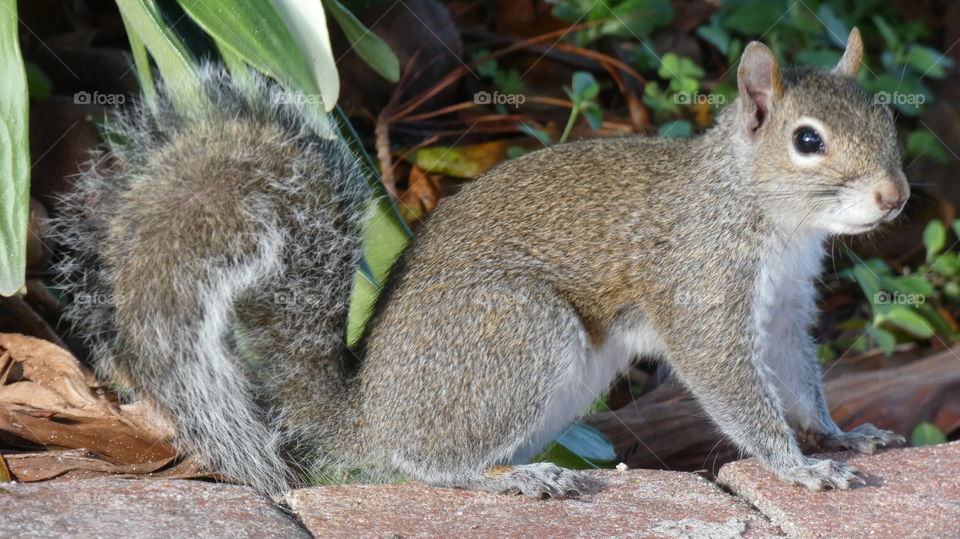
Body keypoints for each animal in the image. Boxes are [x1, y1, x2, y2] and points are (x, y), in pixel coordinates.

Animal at [52, 28, 908, 496]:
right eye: (806, 140)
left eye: (888, 119)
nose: (897, 196)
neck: (770, 217)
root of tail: (366, 413)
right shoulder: (701, 283)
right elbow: (733, 385)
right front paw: (796, 466)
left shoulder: (784, 309)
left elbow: (796, 377)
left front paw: (839, 437)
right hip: (518, 331)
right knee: (421, 463)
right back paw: (515, 477)